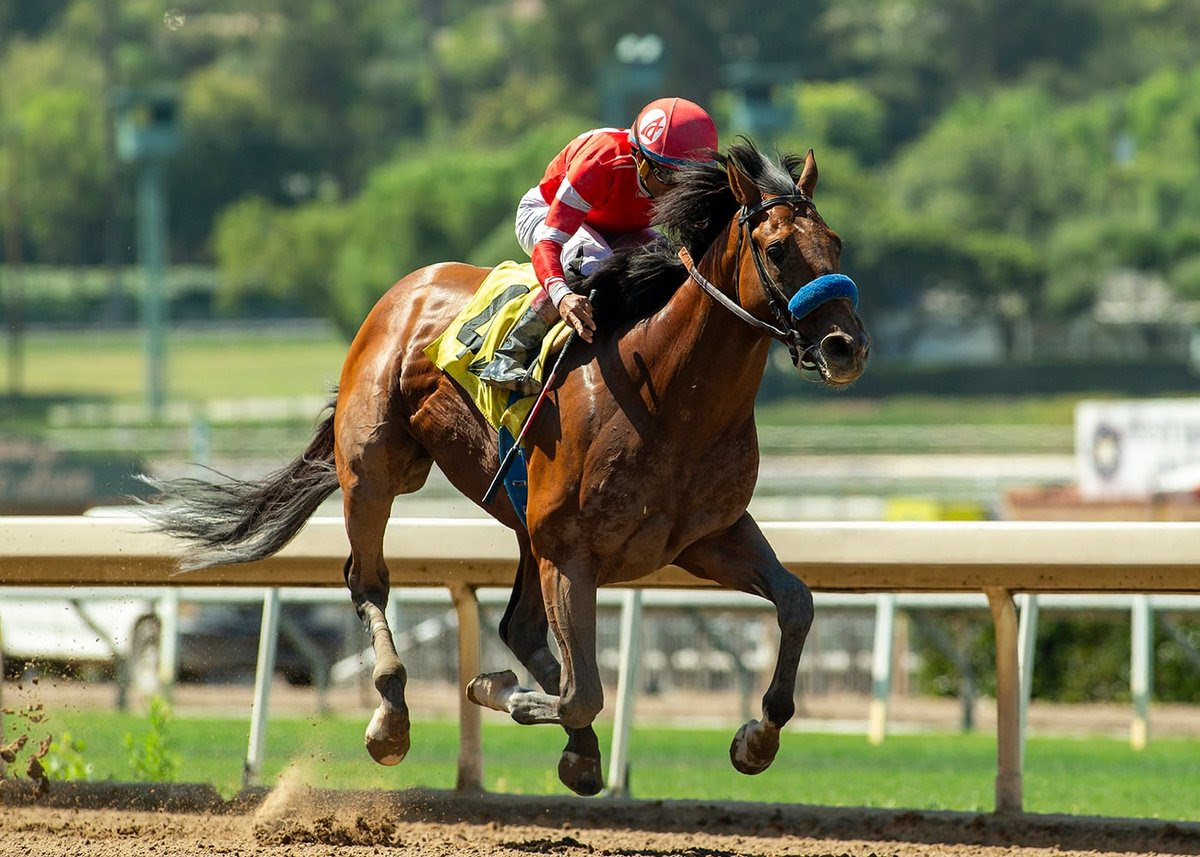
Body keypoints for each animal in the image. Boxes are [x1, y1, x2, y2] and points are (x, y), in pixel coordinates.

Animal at [145, 140, 870, 797]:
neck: (669, 394)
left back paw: (578, 749)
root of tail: (404, 289)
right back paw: (392, 717)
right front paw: (502, 692)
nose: (846, 347)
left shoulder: (707, 536)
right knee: (368, 579)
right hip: (379, 469)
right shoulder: (571, 551)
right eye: (777, 250)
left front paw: (757, 737)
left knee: (517, 627)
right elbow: (581, 690)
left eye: (835, 243)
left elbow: (797, 602)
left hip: (526, 526)